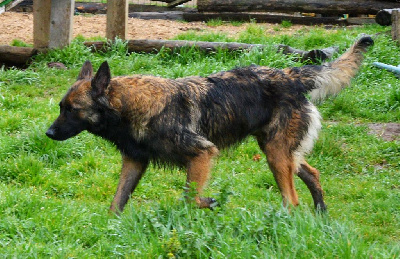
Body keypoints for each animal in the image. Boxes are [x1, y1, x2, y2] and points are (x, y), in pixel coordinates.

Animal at [47, 36, 376, 215]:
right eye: (61, 108)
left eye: (72, 110)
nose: (48, 133)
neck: (130, 106)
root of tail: (291, 74)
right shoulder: (134, 162)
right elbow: (116, 203)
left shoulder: (202, 154)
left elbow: (190, 198)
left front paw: (211, 203)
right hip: (279, 151)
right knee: (312, 173)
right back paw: (320, 215)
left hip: (276, 155)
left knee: (292, 200)